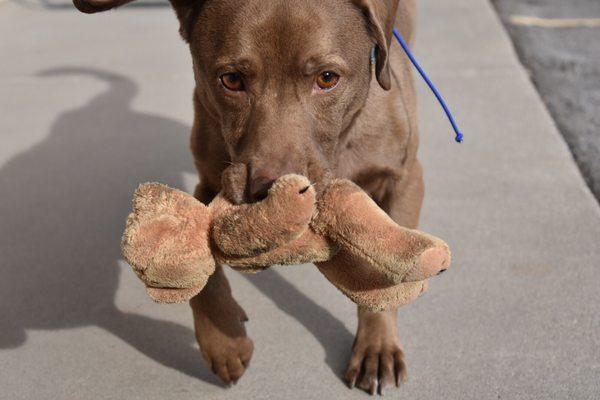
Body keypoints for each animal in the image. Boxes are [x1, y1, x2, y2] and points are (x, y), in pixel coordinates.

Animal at [75, 0, 422, 394]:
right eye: (231, 79)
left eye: (327, 78)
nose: (271, 194)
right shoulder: (211, 180)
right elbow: (203, 271)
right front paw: (224, 342)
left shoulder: (406, 181)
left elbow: (389, 275)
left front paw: (376, 346)